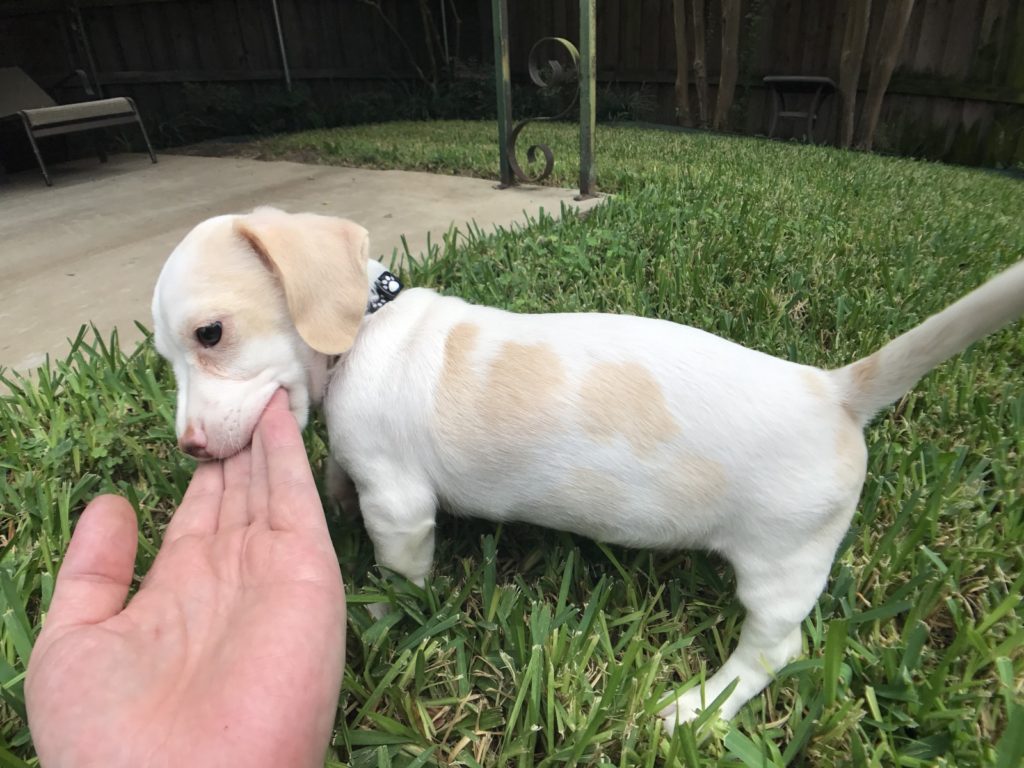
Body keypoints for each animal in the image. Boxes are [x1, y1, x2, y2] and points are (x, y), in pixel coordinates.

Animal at [153, 207, 1024, 729]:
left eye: (210, 334)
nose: (189, 447)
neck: (369, 326)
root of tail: (835, 391)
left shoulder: (399, 505)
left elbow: (398, 573)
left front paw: (380, 614)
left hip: (782, 563)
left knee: (773, 651)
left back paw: (696, 706)